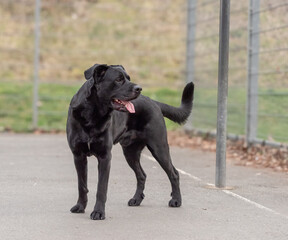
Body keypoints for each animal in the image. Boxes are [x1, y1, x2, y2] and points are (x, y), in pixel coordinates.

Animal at [66, 63, 195, 219]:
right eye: (119, 79)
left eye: (128, 78)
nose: (139, 88)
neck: (92, 113)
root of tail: (153, 101)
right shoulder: (78, 156)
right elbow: (82, 185)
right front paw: (80, 206)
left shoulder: (105, 157)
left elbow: (101, 188)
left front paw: (98, 212)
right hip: (130, 152)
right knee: (142, 175)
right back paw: (136, 199)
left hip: (159, 147)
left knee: (174, 173)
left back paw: (176, 200)